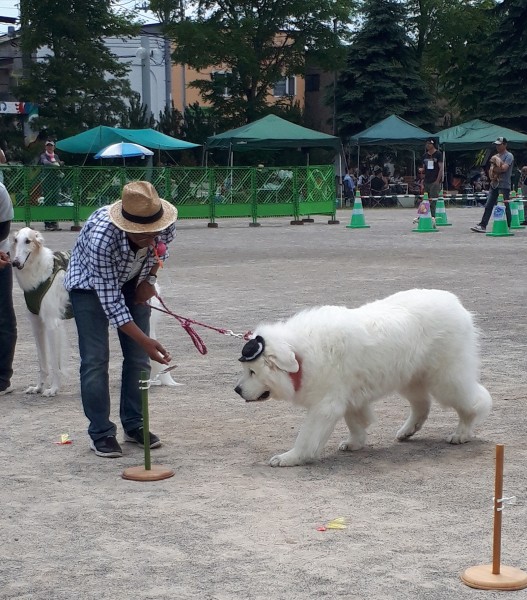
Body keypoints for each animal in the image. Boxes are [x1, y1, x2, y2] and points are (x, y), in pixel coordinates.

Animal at [10, 227, 178, 396]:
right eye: (15, 240)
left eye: (28, 241)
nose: (15, 263)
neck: (41, 272)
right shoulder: (37, 323)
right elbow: (42, 363)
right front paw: (38, 387)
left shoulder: (52, 324)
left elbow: (54, 363)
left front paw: (53, 389)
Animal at [237, 288, 492, 466]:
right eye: (246, 370)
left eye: (252, 372)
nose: (237, 390)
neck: (301, 356)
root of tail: (456, 304)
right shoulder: (349, 396)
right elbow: (356, 422)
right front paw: (355, 443)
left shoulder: (325, 406)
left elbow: (307, 437)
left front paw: (290, 458)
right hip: (409, 377)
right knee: (422, 405)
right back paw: (407, 431)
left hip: (446, 379)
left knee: (474, 402)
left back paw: (461, 434)